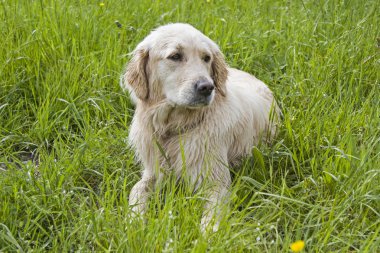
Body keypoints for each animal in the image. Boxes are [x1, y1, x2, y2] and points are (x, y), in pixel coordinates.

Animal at [121, 23, 280, 231]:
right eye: (175, 56)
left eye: (206, 58)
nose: (207, 87)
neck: (175, 128)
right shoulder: (153, 172)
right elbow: (136, 190)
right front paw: (135, 222)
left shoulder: (217, 183)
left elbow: (210, 221)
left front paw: (206, 236)